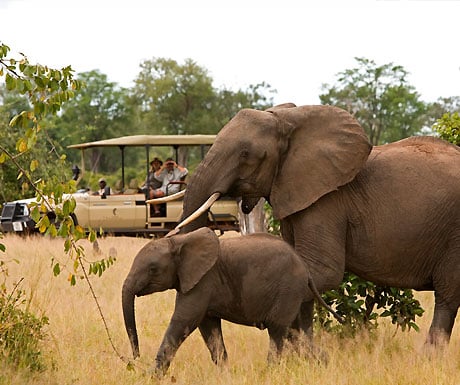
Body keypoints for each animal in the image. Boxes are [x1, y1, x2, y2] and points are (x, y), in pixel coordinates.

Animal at [122, 226, 336, 374]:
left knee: (278, 330)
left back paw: (269, 373)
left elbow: (184, 320)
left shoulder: (203, 280)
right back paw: (323, 364)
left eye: (153, 269)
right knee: (295, 333)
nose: (135, 357)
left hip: (288, 288)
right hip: (295, 294)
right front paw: (225, 374)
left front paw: (150, 376)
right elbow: (209, 328)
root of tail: (305, 269)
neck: (178, 240)